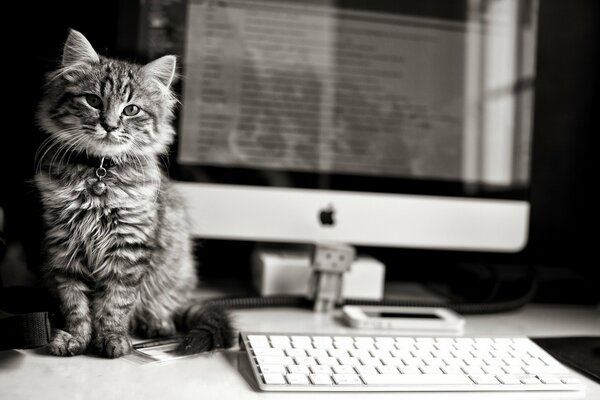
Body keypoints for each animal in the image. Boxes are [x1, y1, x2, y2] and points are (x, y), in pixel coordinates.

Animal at [34, 29, 232, 358]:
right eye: (93, 101)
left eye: (131, 110)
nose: (109, 125)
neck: (100, 173)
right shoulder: (64, 246)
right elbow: (75, 303)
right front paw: (76, 338)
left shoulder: (128, 246)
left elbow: (115, 303)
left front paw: (112, 338)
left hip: (177, 272)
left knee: (162, 304)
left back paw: (156, 322)